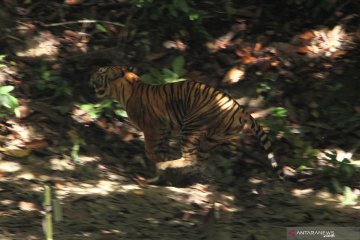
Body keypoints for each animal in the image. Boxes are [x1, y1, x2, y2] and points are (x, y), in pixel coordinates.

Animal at [90, 65, 282, 178]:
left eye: (100, 72)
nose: (89, 78)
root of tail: (239, 108)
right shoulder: (164, 131)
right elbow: (161, 149)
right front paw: (162, 159)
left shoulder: (154, 129)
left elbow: (150, 150)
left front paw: (158, 162)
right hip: (213, 138)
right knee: (198, 161)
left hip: (191, 127)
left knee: (190, 158)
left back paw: (166, 166)